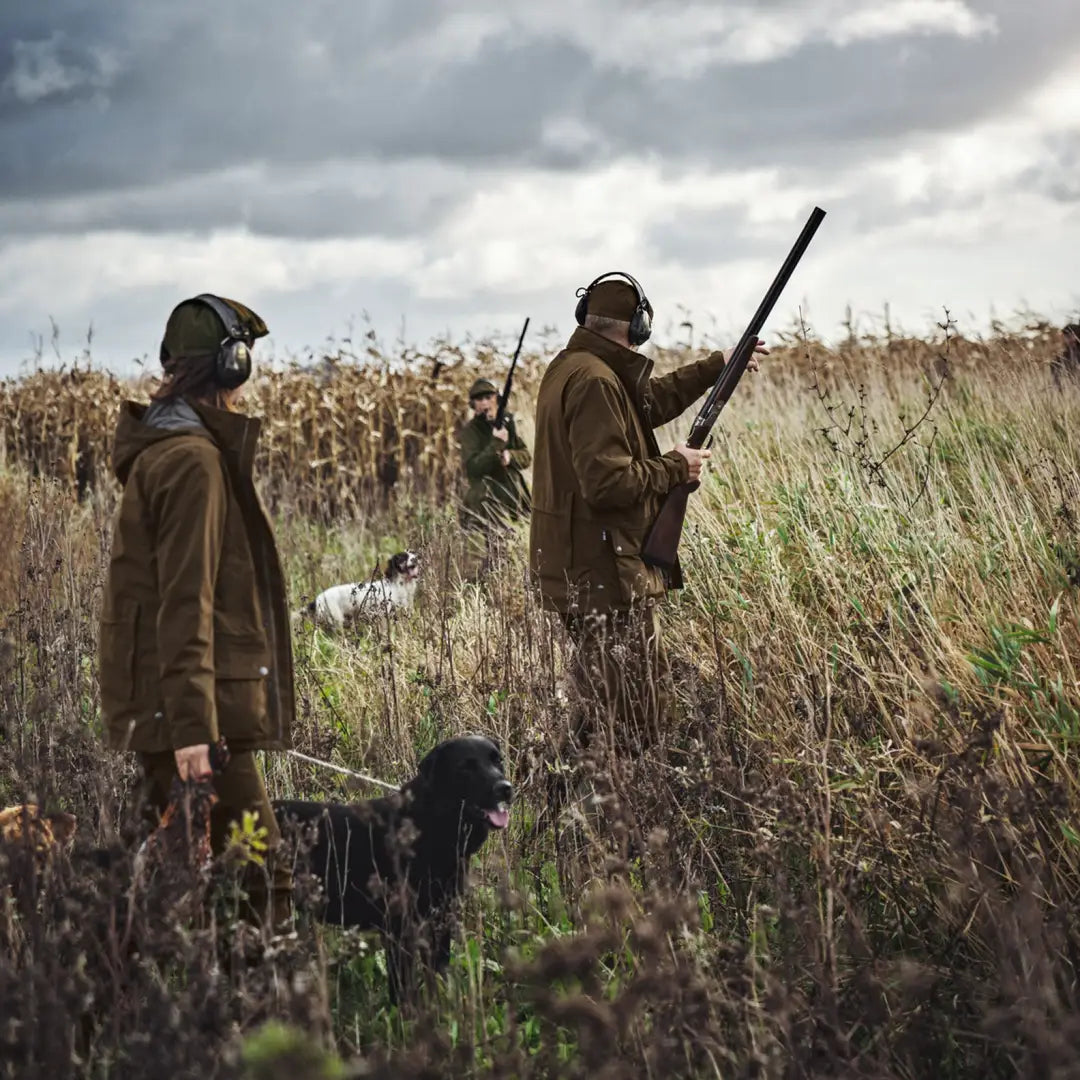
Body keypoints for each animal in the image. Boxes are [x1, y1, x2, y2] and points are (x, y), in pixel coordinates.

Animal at [276, 734, 516, 1002]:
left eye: (498, 760)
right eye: (466, 766)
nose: (505, 788)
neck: (430, 822)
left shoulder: (441, 920)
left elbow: (439, 977)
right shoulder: (398, 928)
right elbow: (403, 989)